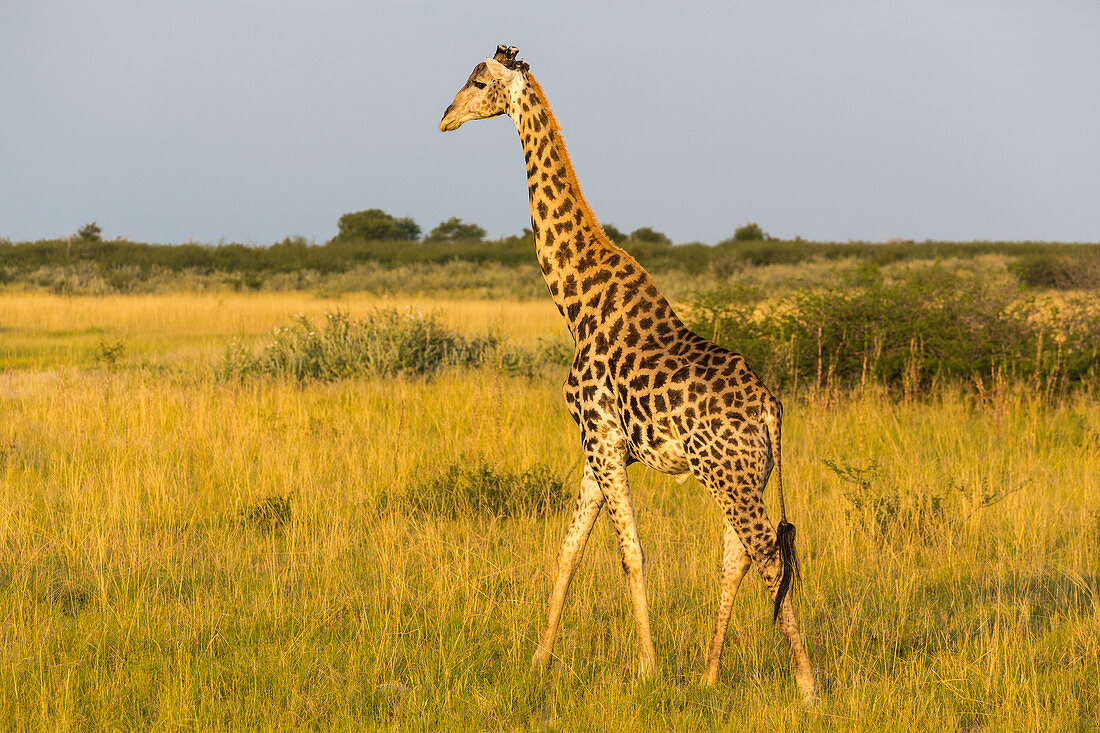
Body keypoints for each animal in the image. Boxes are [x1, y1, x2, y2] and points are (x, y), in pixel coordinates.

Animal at [437, 44, 818, 704]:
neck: (575, 302)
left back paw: (807, 689)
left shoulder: (602, 437)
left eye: (478, 81)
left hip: (730, 476)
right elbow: (569, 549)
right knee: (738, 559)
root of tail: (771, 411)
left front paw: (646, 669)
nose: (445, 118)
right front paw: (538, 660)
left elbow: (630, 554)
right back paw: (709, 677)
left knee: (769, 558)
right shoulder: (597, 446)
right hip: (744, 475)